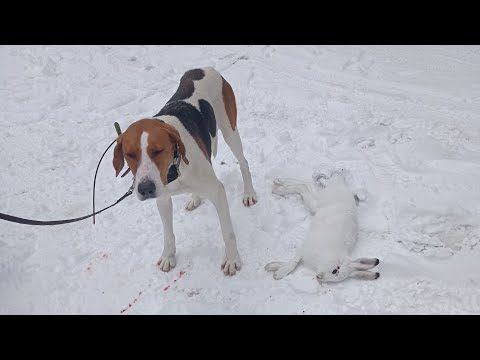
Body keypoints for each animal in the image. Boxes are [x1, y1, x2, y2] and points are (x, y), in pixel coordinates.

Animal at [112, 67, 256, 276]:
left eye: (158, 150)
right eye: (130, 154)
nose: (145, 189)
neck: (174, 171)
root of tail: (203, 68)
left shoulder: (217, 191)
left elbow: (227, 232)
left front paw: (231, 259)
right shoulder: (163, 199)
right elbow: (168, 234)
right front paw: (168, 256)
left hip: (230, 130)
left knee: (243, 163)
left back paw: (249, 193)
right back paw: (194, 198)